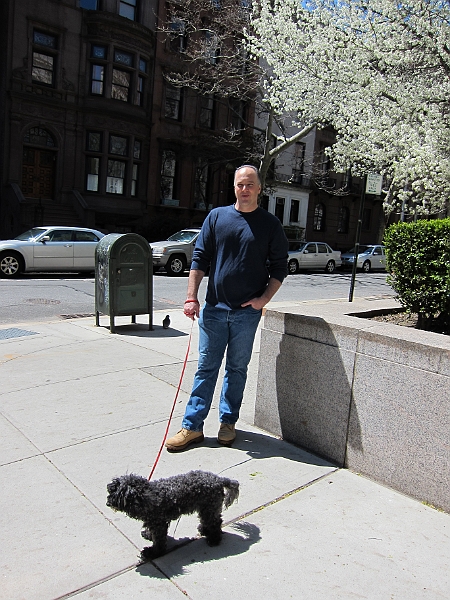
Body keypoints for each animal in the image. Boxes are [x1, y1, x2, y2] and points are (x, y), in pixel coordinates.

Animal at [106, 472, 239, 560]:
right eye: (111, 490)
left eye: (120, 496)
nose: (108, 503)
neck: (148, 496)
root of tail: (219, 480)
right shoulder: (154, 522)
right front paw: (148, 535)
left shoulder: (158, 524)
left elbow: (159, 541)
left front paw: (153, 553)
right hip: (205, 508)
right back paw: (205, 530)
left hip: (209, 507)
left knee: (215, 522)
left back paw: (214, 539)